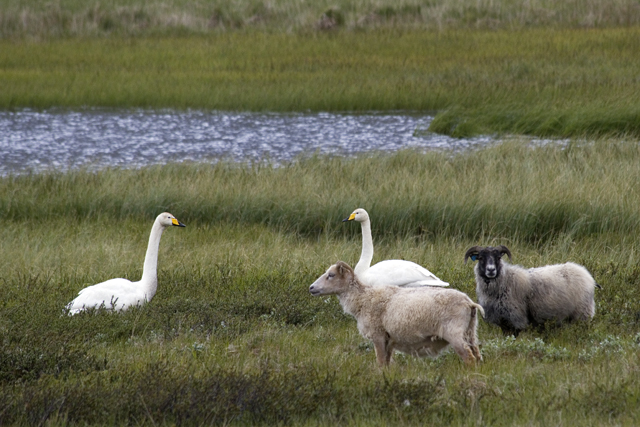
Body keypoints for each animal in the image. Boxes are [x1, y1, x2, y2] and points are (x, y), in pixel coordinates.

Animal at [308, 260, 482, 368]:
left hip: (454, 333)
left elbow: (380, 362)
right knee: (477, 355)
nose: (311, 288)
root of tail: (469, 302)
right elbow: (386, 363)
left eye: (331, 275)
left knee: (469, 357)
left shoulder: (378, 335)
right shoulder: (389, 340)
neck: (363, 299)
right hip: (470, 332)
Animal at [462, 247, 596, 338]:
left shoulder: (516, 318)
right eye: (480, 258)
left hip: (583, 313)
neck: (506, 280)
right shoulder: (503, 321)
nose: (491, 270)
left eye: (498, 257)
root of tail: (587, 275)